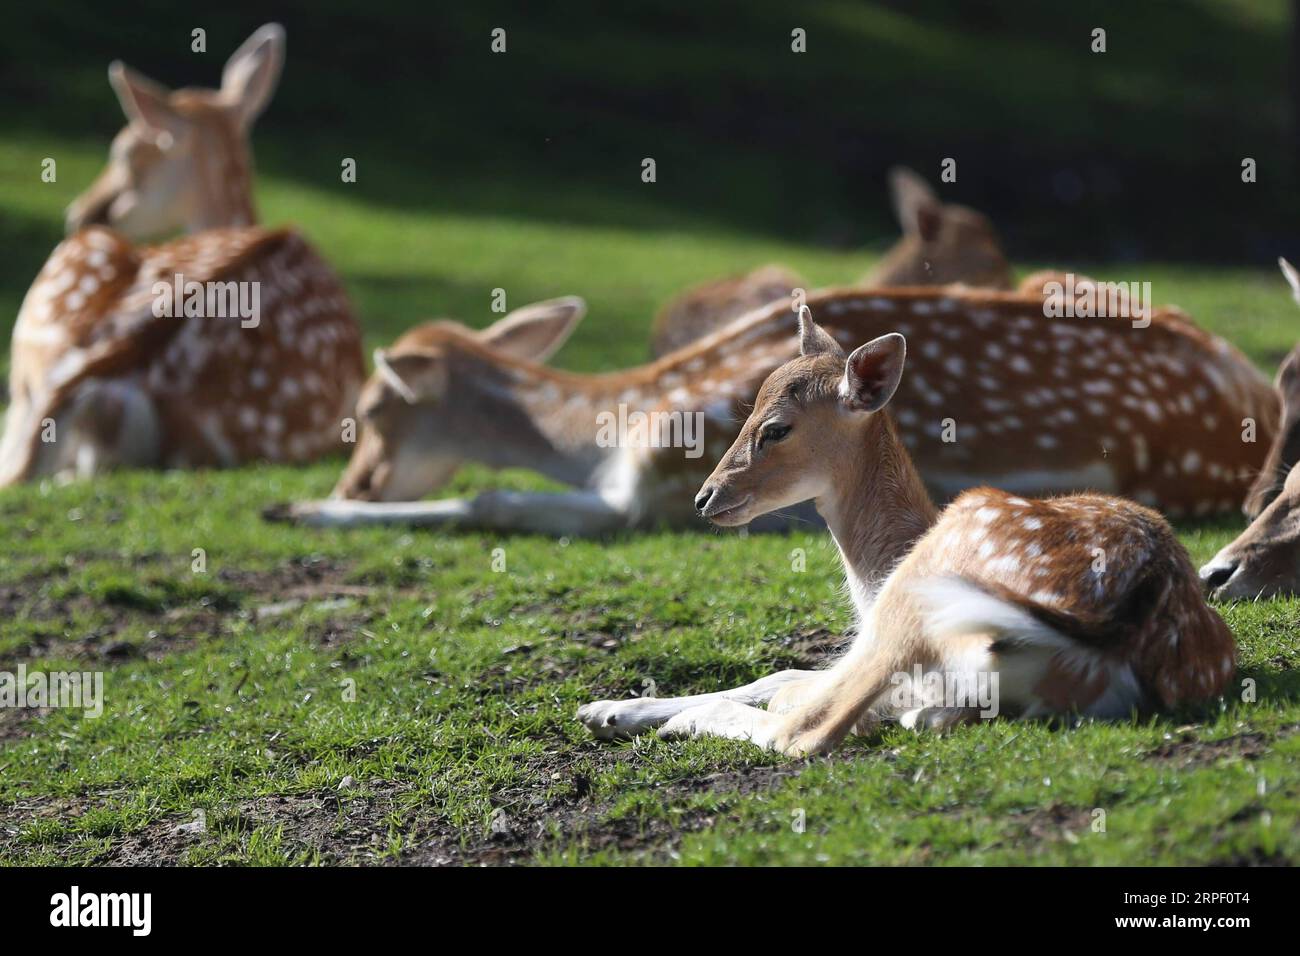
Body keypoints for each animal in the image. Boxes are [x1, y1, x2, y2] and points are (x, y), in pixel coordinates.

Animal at [276, 283, 1279, 538]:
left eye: (373, 404)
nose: (354, 482)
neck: (615, 426)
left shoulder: (647, 489)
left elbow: (491, 499)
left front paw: (299, 510)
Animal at [579, 310, 1237, 749]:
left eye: (776, 428)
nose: (705, 497)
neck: (873, 575)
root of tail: (1116, 620)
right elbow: (786, 670)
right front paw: (606, 709)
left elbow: (787, 678)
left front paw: (611, 711)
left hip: (920, 599)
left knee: (807, 732)